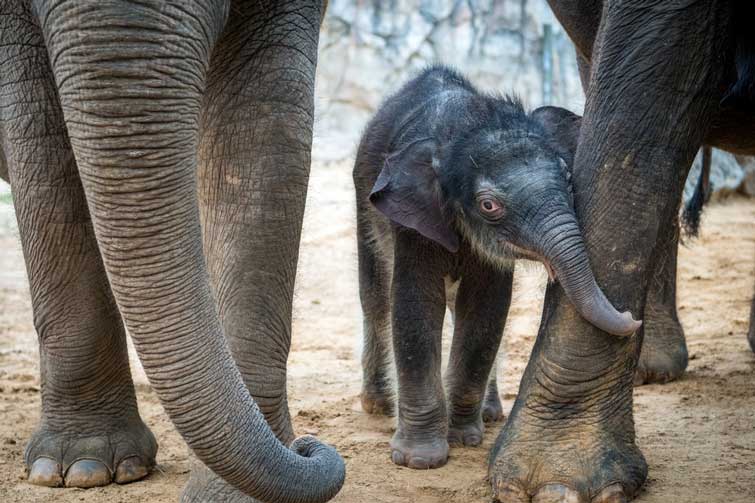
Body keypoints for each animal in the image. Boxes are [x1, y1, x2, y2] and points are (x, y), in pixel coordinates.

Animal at [352, 65, 640, 470]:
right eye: (489, 206)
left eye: (569, 179)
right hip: (364, 207)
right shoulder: (411, 222)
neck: (464, 125)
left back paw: (489, 415)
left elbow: (485, 312)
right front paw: (419, 460)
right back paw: (376, 405)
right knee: (375, 300)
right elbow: (414, 307)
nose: (632, 317)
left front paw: (465, 438)